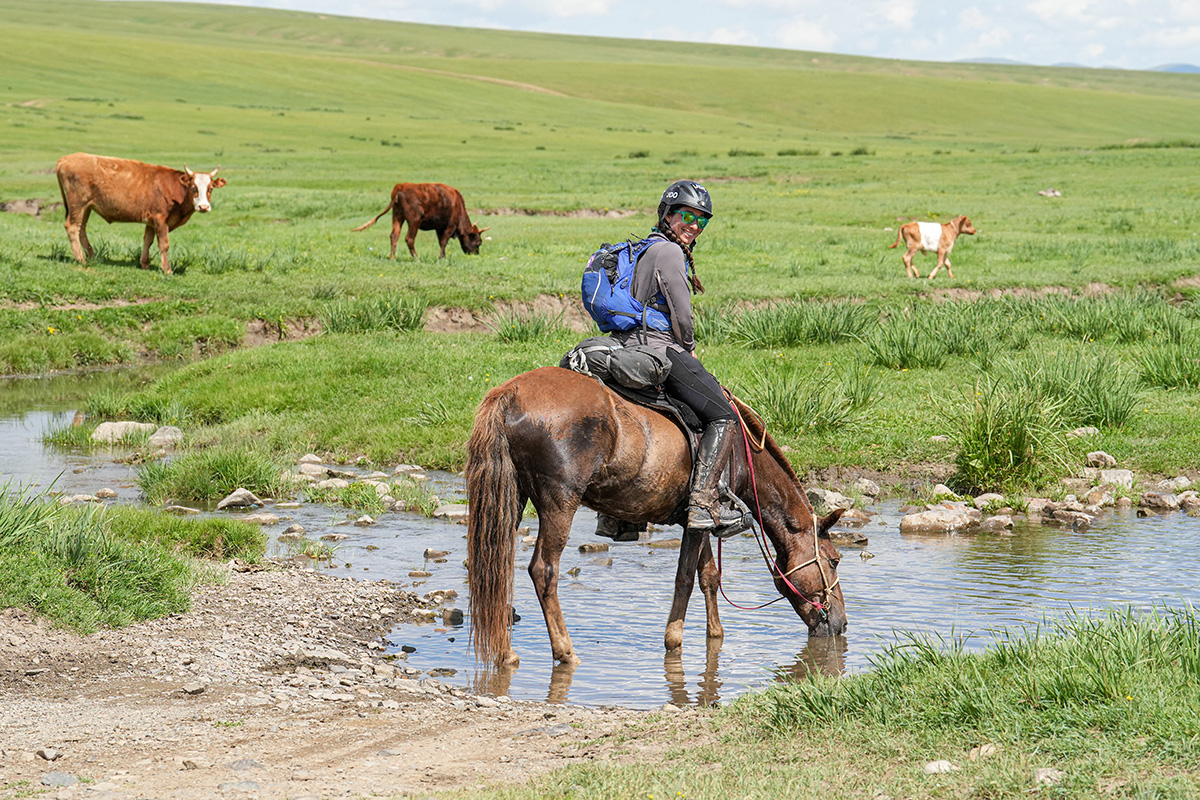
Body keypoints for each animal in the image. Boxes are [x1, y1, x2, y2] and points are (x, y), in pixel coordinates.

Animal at [466, 366, 847, 668]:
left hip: (511, 499)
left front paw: (716, 636)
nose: (841, 624)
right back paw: (565, 652)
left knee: (494, 567)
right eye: (833, 560)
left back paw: (506, 654)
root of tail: (510, 393)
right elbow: (686, 578)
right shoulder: (696, 522)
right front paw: (674, 641)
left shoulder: (700, 520)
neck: (740, 451)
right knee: (543, 570)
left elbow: (708, 575)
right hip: (560, 502)